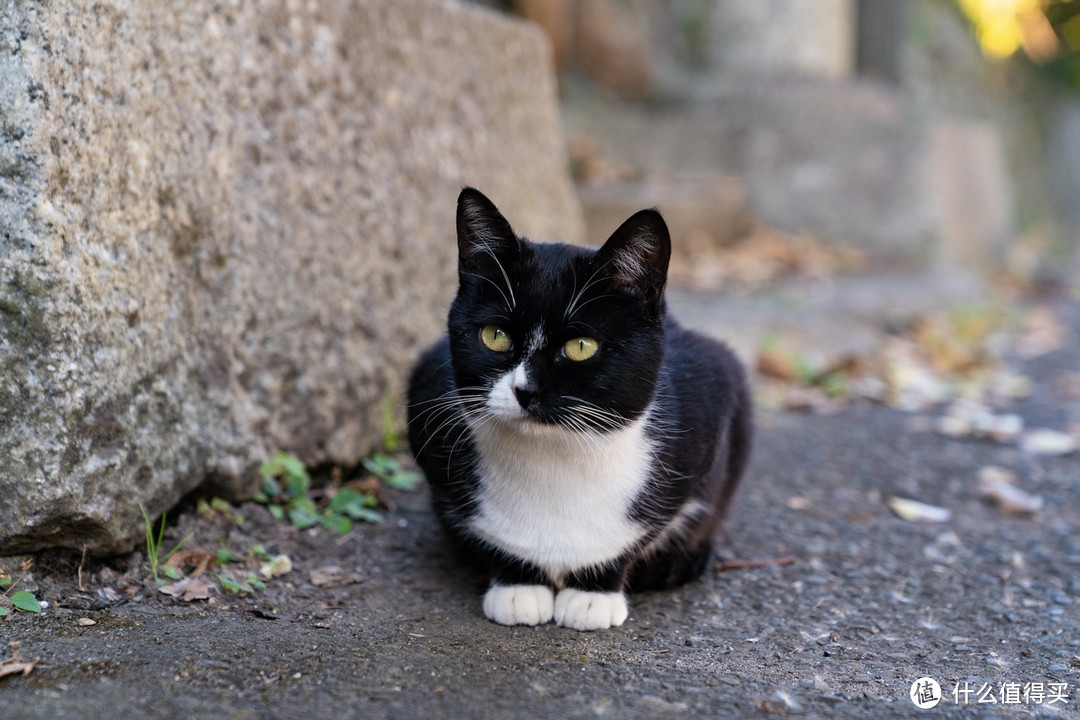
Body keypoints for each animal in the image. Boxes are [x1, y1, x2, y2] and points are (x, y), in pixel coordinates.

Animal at [406, 188, 751, 634]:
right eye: (495, 336)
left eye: (581, 346)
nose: (525, 390)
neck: (554, 461)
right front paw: (518, 583)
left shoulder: (713, 394)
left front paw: (593, 593)